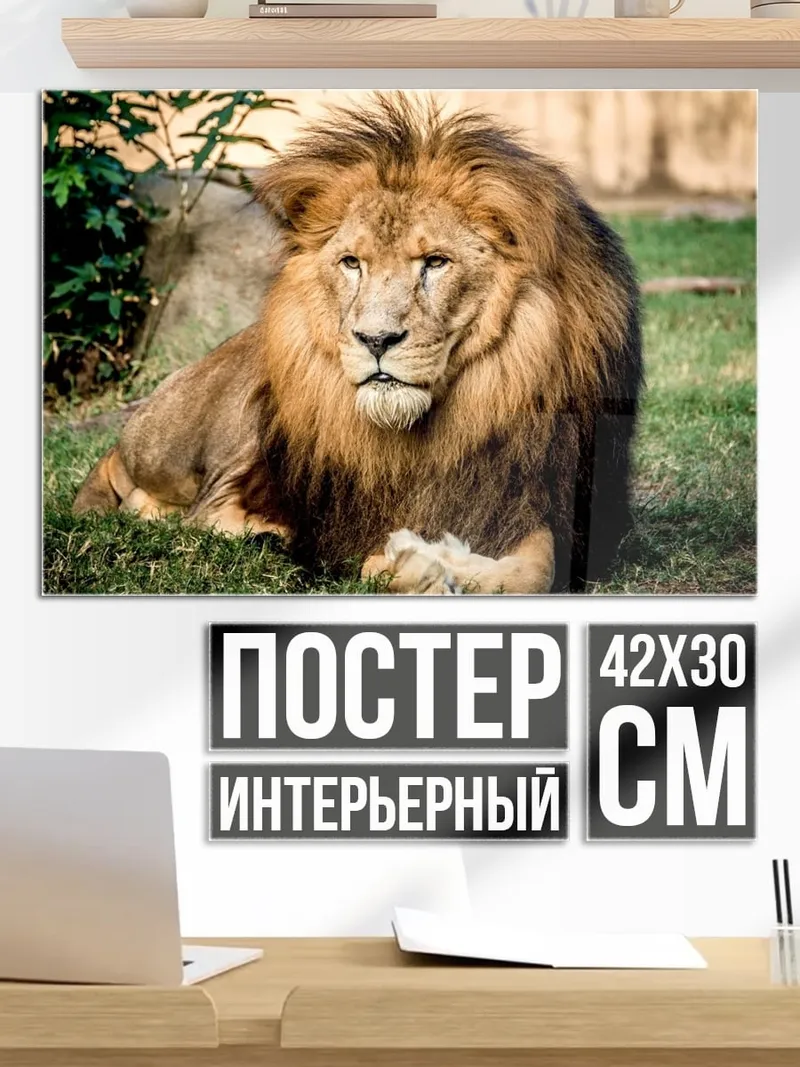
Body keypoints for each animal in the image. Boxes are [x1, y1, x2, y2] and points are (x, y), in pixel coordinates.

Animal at [73, 93, 643, 595]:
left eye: (436, 262)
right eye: (352, 263)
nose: (375, 338)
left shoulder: (534, 497)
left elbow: (537, 570)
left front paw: (426, 563)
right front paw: (399, 563)